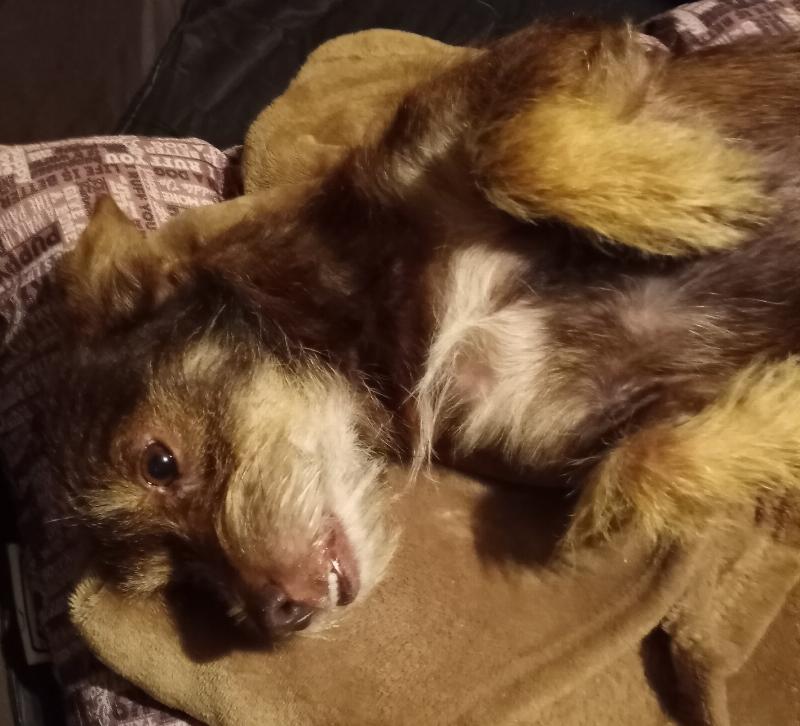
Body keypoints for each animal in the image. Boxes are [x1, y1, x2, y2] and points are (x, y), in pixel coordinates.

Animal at [47, 20, 800, 641]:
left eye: (159, 462)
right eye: (179, 579)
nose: (276, 617)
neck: (381, 328)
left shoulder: (538, 66)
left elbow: (516, 149)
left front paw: (693, 189)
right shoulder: (580, 424)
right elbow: (646, 463)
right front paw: (781, 411)